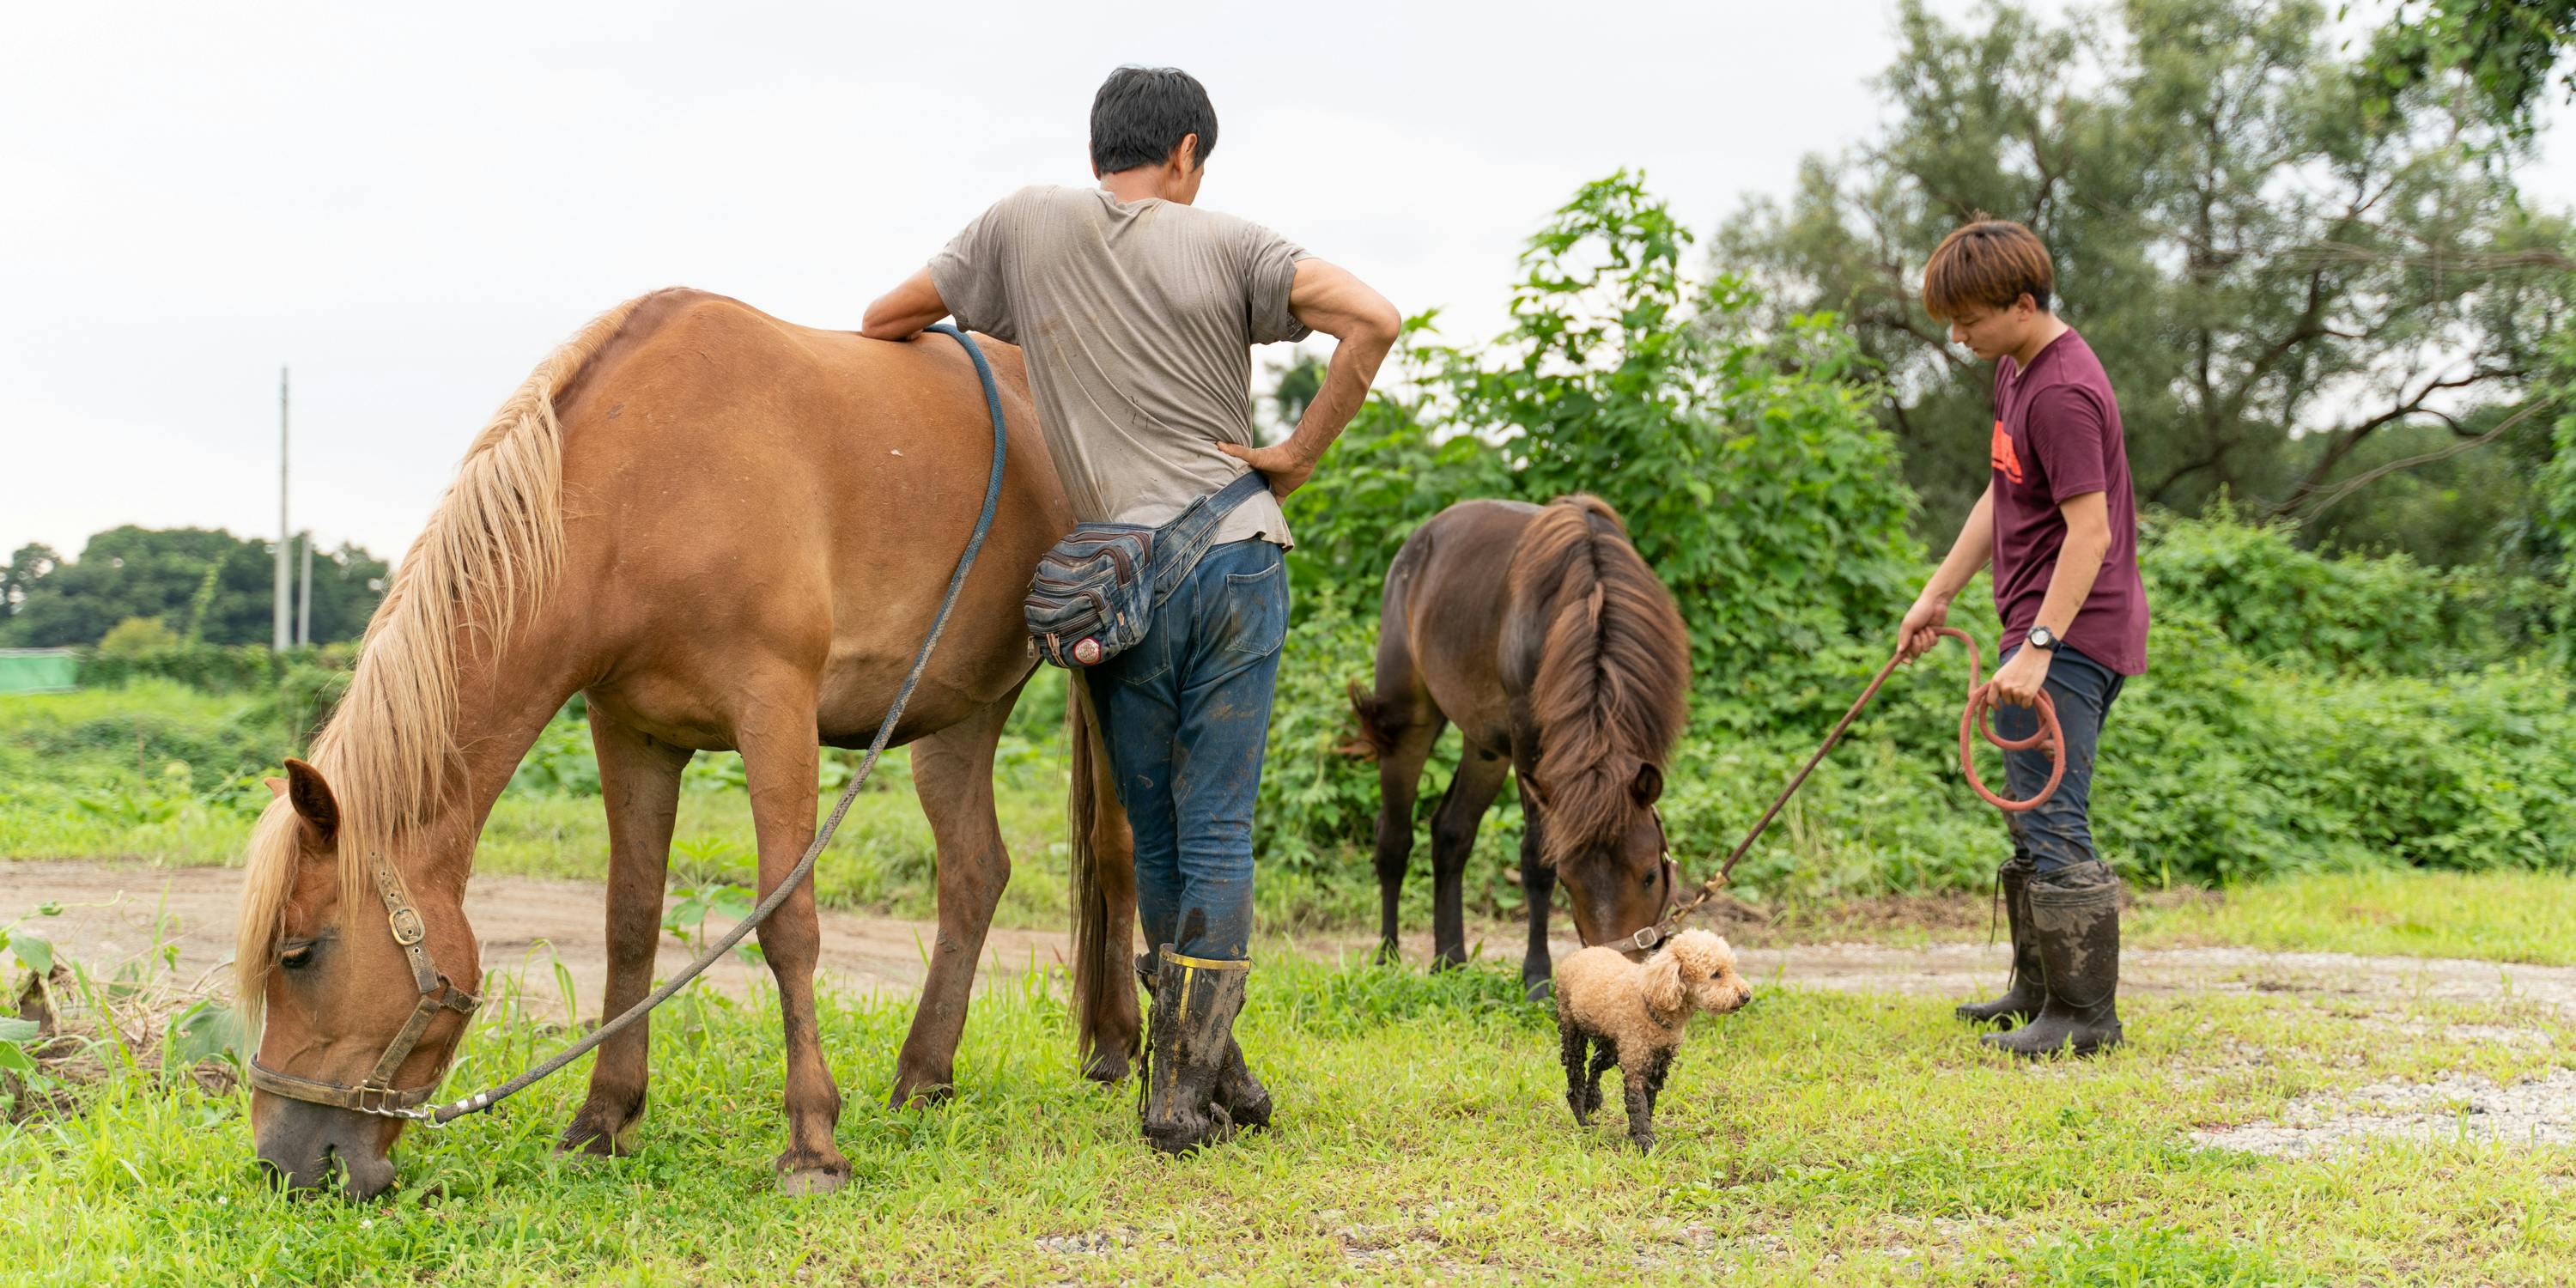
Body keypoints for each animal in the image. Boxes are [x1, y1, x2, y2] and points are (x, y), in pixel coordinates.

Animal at [232, 289, 1139, 1195]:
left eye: (298, 954)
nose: (283, 1162)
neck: (647, 488)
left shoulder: (777, 712)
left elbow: (788, 923)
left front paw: (812, 1142)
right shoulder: (630, 732)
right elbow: (629, 921)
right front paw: (601, 1120)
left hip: (1097, 684)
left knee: (1116, 851)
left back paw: (1121, 1050)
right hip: (957, 714)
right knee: (976, 872)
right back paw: (924, 1078)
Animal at [1350, 492, 1690, 994]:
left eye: (1650, 875)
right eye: (1569, 882)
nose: (1615, 973)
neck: (1591, 601)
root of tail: (1419, 541)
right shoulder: (1529, 739)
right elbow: (1535, 859)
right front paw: (1537, 977)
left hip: (1486, 746)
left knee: (1450, 833)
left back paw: (1450, 959)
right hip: (1407, 722)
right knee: (1394, 838)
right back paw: (1387, 957)